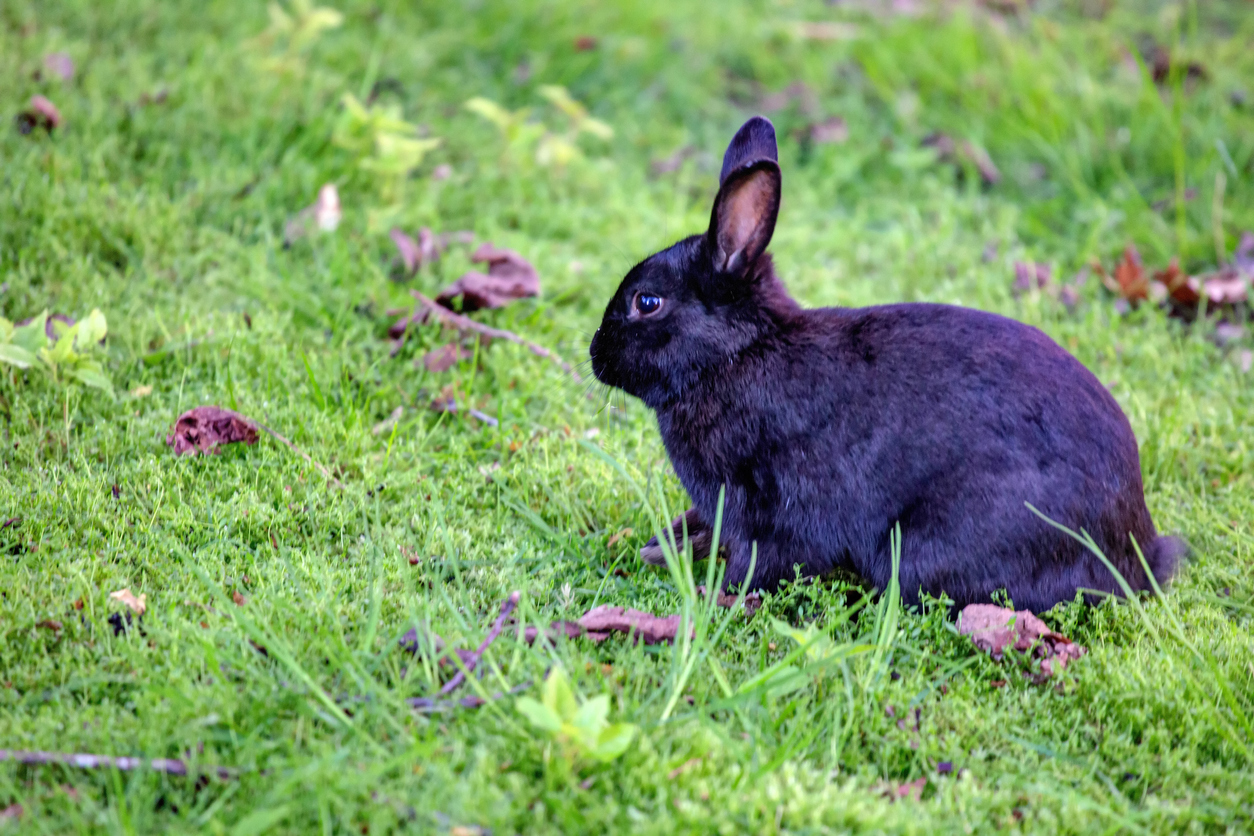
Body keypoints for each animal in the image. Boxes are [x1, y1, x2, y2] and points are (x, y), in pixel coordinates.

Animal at [590, 116, 1184, 613]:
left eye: (647, 302)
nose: (595, 354)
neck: (737, 354)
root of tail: (1137, 554)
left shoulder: (772, 509)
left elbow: (763, 561)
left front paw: (715, 596)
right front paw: (659, 547)